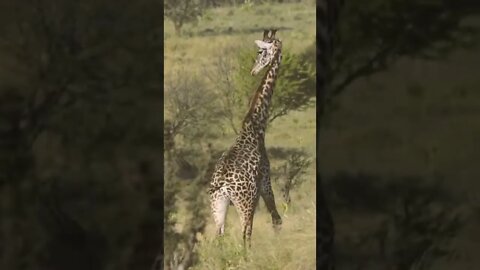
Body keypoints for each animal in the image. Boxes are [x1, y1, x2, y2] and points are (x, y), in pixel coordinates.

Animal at [208, 29, 284, 247]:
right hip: (246, 204)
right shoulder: (266, 181)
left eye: (260, 52)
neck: (256, 127)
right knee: (246, 235)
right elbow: (277, 219)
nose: (253, 71)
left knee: (219, 236)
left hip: (218, 206)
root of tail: (223, 186)